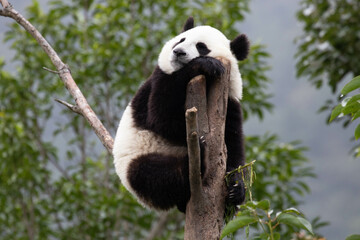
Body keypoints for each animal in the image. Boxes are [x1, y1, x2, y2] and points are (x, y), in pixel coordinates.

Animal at [114, 16, 249, 212]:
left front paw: (236, 188)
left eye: (201, 46)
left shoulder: (229, 101)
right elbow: (162, 118)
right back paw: (197, 157)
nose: (178, 52)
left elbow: (233, 142)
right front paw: (205, 65)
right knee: (155, 175)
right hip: (134, 160)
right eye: (181, 40)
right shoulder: (160, 78)